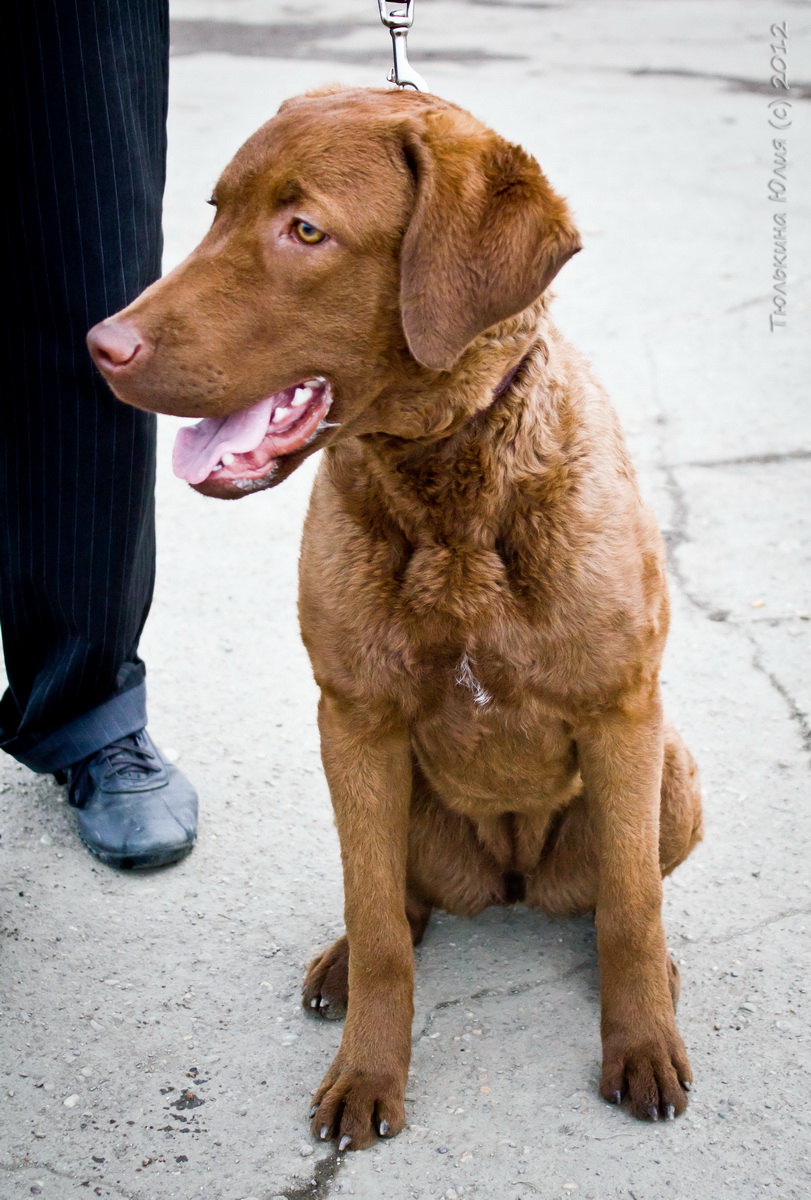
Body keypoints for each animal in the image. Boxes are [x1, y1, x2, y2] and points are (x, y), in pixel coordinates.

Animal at [85, 87, 700, 1152]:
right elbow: (378, 928)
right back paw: (343, 961)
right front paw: (368, 1071)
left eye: (305, 230)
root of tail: (509, 881)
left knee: (619, 896)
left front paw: (640, 1046)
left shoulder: (621, 709)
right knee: (394, 905)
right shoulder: (355, 718)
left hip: (674, 774)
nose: (102, 347)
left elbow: (630, 910)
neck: (451, 499)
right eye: (215, 213)